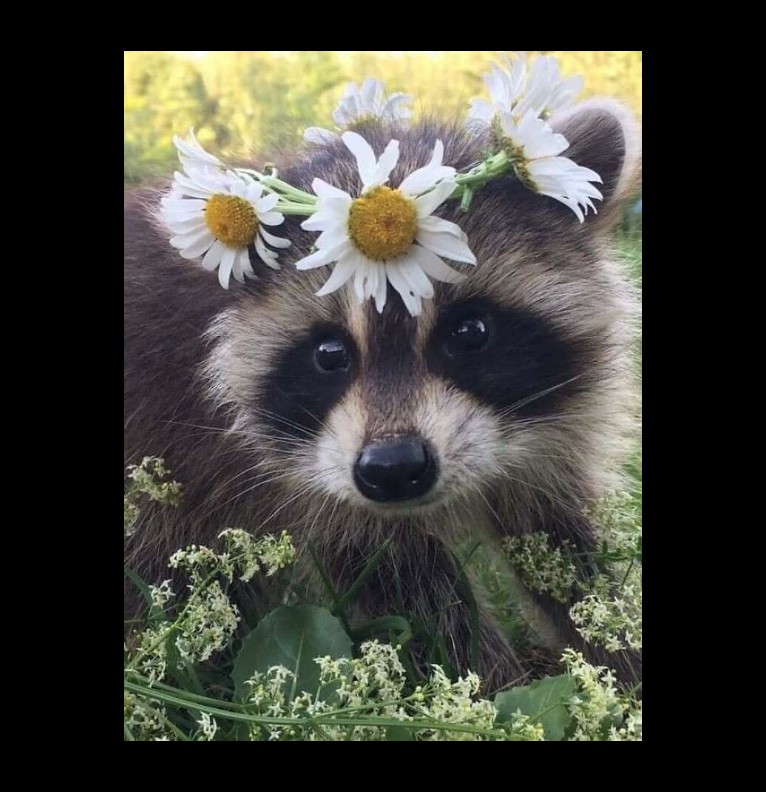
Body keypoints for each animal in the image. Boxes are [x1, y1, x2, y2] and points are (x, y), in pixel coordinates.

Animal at [124, 100, 641, 691]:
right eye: (329, 353)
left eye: (470, 332)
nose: (393, 469)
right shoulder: (299, 483)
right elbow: (412, 594)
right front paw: (489, 690)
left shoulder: (552, 434)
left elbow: (560, 546)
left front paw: (613, 654)